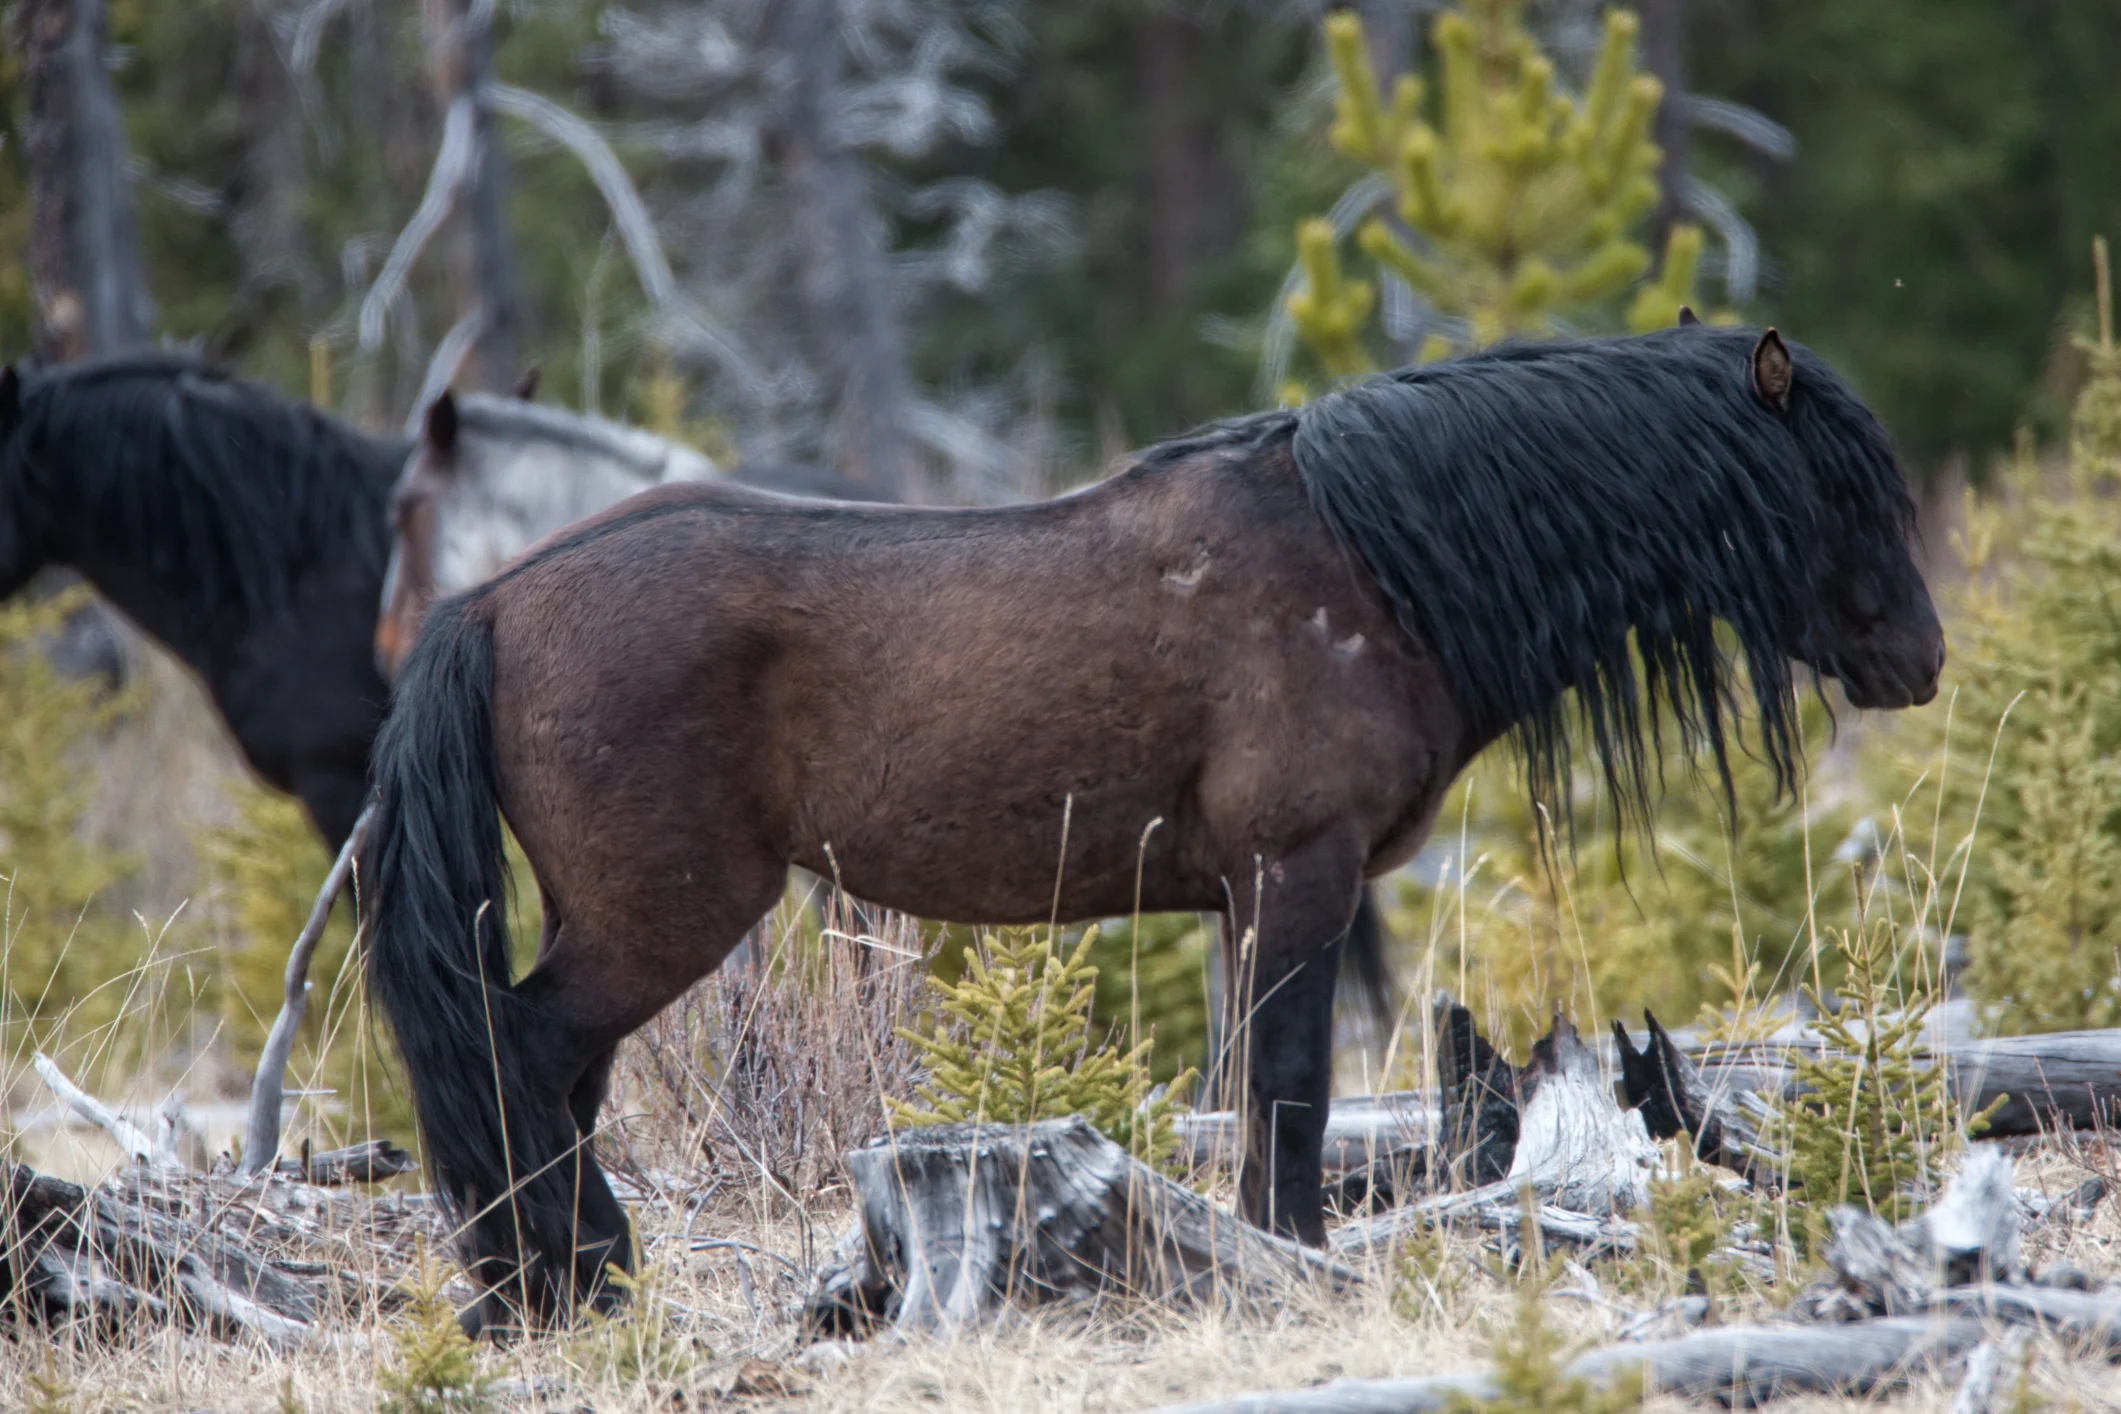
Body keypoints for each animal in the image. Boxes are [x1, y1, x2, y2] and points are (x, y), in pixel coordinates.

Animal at [360, 325, 1945, 1328]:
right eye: (1837, 483)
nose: (1918, 658)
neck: (1371, 564)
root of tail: (490, 603)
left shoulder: (1248, 902)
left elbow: (1254, 1103)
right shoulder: (1297, 881)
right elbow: (1291, 1103)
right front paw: (1299, 1271)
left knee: (546, 1074)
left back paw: (546, 1287)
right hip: (663, 915)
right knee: (523, 1056)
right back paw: (572, 1281)